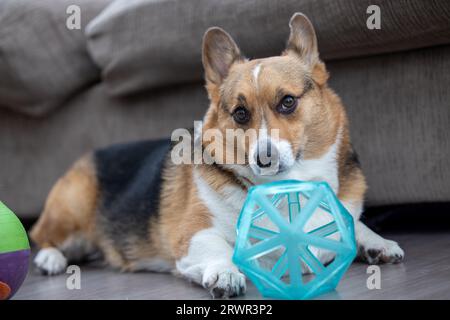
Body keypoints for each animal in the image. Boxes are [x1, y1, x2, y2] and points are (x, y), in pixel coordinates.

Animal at [31, 12, 404, 298]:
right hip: (71, 209)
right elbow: (220, 250)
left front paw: (377, 242)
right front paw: (225, 274)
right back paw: (50, 260)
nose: (264, 159)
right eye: (240, 113)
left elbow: (355, 224)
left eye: (288, 101)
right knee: (41, 236)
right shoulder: (195, 234)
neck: (288, 188)